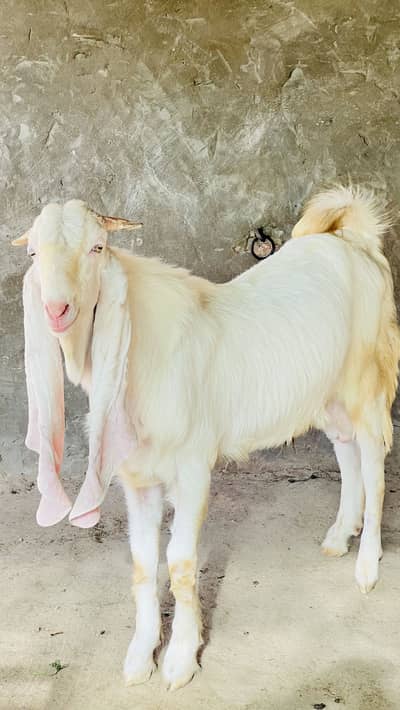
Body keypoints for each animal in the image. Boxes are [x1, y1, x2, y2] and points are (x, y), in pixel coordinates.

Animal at [13, 186, 400, 690]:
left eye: (97, 247)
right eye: (34, 254)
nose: (56, 310)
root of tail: (352, 236)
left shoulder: (193, 467)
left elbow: (179, 563)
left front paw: (180, 660)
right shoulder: (138, 477)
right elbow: (142, 564)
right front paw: (139, 657)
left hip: (367, 384)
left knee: (374, 465)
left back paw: (367, 566)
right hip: (330, 393)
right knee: (347, 450)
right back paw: (339, 535)